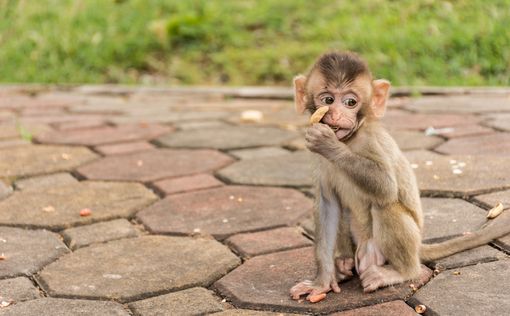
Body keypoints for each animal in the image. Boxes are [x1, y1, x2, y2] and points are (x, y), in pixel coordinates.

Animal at [290, 52, 510, 304]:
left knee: (386, 207)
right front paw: (321, 282)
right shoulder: (319, 162)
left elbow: (385, 187)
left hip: (385, 248)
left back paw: (400, 272)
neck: (350, 140)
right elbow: (328, 205)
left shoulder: (371, 140)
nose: (336, 114)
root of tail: (417, 249)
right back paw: (342, 267)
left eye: (350, 102)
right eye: (327, 100)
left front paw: (329, 144)